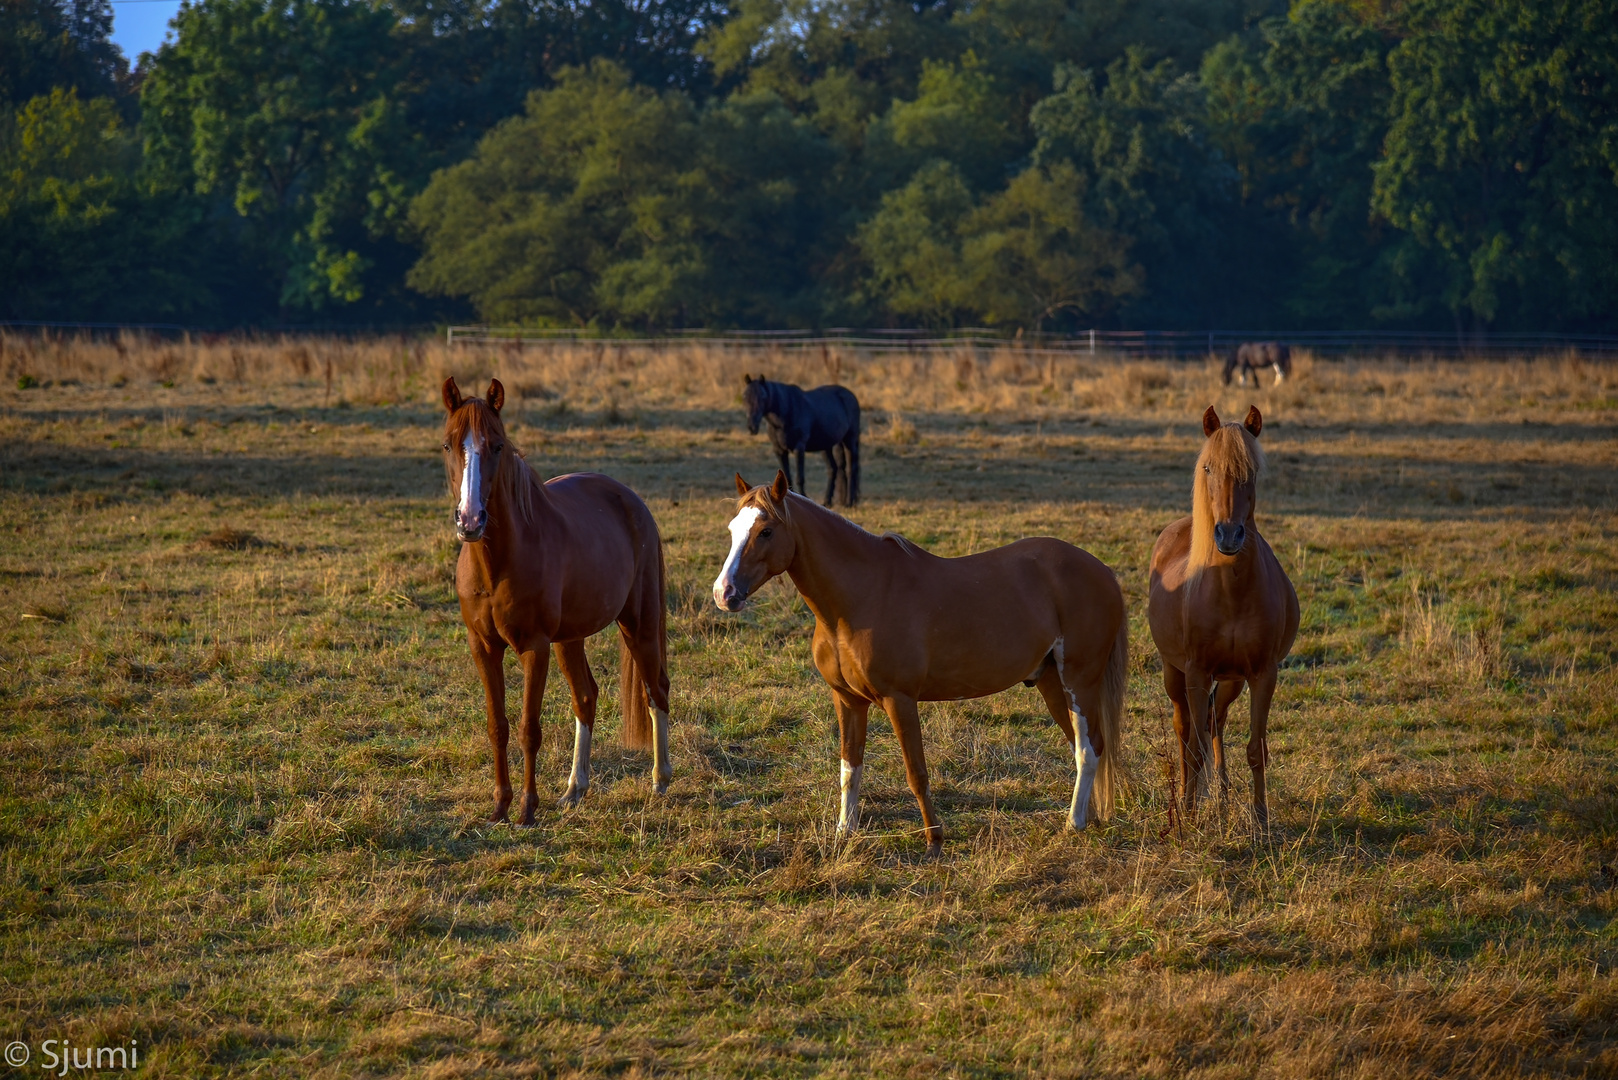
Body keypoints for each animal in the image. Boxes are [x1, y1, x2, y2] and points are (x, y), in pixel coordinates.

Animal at [440, 375, 673, 822]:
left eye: (498, 446)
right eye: (448, 445)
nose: (471, 520)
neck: (498, 563)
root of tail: (631, 501)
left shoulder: (535, 647)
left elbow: (529, 729)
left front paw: (527, 811)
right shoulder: (483, 647)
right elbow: (498, 725)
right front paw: (500, 806)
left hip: (639, 625)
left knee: (657, 691)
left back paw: (660, 780)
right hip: (570, 638)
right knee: (586, 697)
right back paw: (574, 789)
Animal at [708, 469, 1126, 854]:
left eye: (766, 531)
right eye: (732, 529)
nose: (723, 593)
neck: (861, 597)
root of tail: (1102, 569)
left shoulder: (900, 700)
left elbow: (916, 772)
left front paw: (934, 840)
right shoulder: (847, 700)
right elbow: (849, 768)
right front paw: (845, 832)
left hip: (1079, 682)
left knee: (1088, 749)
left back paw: (1073, 824)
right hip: (1050, 682)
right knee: (1084, 747)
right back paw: (1087, 817)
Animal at [741, 372, 860, 508]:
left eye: (763, 396)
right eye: (744, 396)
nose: (752, 427)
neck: (786, 413)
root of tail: (850, 395)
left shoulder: (799, 448)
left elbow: (800, 477)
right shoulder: (779, 450)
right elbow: (787, 478)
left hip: (850, 440)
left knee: (851, 469)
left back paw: (849, 502)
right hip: (828, 446)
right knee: (834, 469)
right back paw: (829, 501)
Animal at [1152, 409, 1300, 822]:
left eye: (1252, 471)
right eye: (1208, 467)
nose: (1229, 536)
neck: (1231, 592)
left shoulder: (1263, 674)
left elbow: (1255, 749)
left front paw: (1261, 819)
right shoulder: (1197, 672)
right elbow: (1193, 747)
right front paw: (1189, 815)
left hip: (1232, 680)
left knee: (1215, 722)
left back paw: (1222, 793)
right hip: (1175, 673)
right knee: (1185, 730)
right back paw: (1186, 797)